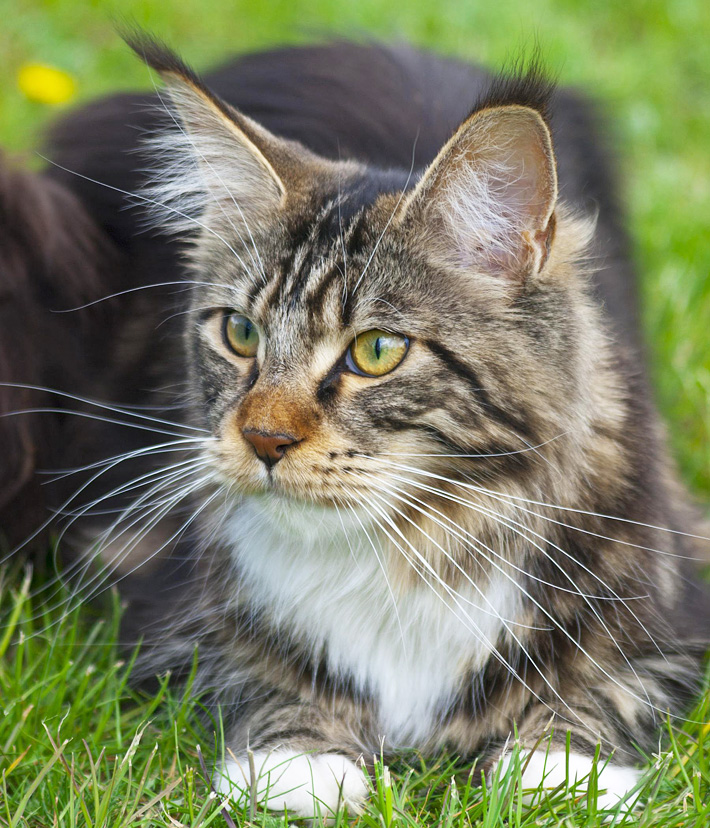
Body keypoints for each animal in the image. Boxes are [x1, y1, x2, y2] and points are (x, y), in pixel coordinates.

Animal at [1, 34, 710, 820]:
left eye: (376, 351)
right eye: (240, 334)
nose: (264, 440)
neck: (414, 546)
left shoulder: (674, 599)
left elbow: (605, 685)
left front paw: (556, 773)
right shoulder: (165, 598)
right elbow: (261, 673)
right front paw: (301, 766)